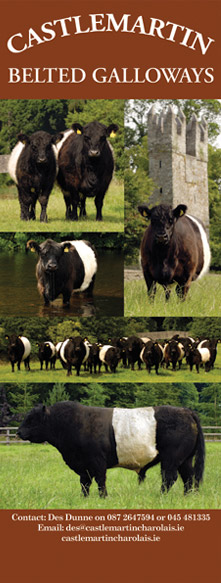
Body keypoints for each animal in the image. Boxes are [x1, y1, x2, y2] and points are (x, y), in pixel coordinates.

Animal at [17, 406, 205, 498]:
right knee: (189, 477)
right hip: (184, 459)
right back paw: (188, 496)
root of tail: (187, 411)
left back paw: (161, 496)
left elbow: (100, 480)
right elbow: (84, 482)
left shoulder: (96, 460)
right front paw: (84, 498)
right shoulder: (83, 465)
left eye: (32, 419)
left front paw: (103, 497)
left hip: (171, 458)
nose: (18, 432)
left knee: (170, 477)